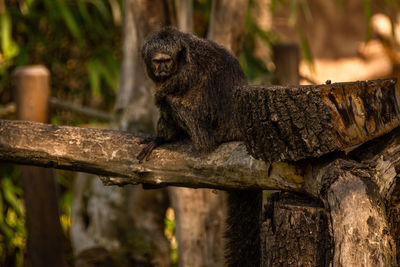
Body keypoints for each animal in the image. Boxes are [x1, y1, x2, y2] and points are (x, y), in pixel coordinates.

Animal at [138, 27, 262, 267]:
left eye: (166, 61)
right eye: (157, 61)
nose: (162, 69)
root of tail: (239, 129)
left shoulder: (182, 76)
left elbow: (165, 98)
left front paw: (159, 139)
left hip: (208, 130)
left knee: (169, 102)